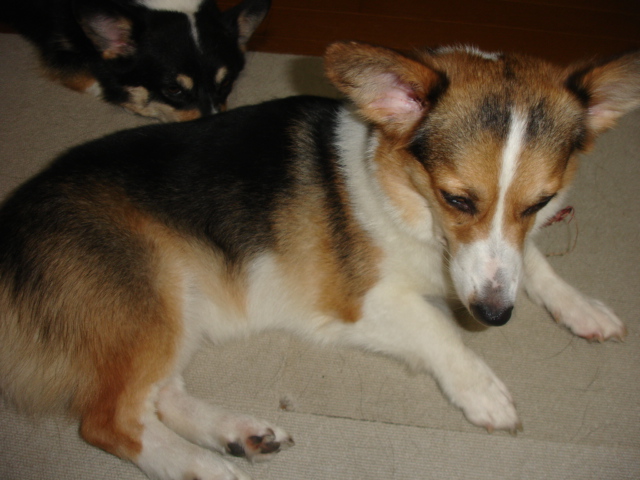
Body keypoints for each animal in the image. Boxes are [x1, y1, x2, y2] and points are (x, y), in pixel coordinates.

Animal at [0, 41, 639, 479]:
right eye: (458, 199)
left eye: (541, 203)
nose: (495, 317)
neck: (404, 194)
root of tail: (13, 222)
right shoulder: (365, 302)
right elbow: (440, 330)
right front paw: (483, 391)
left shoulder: (502, 255)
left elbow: (532, 262)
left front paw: (582, 308)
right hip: (154, 300)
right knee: (109, 420)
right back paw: (203, 465)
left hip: (174, 310)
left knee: (160, 396)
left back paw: (237, 435)